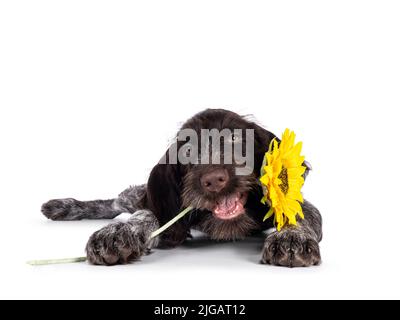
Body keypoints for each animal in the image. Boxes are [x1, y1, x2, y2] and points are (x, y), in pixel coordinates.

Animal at [41, 110, 322, 268]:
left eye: (235, 139)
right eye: (187, 151)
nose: (214, 179)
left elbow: (299, 216)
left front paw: (291, 237)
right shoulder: (164, 213)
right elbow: (145, 215)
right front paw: (119, 232)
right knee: (118, 201)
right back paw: (63, 206)